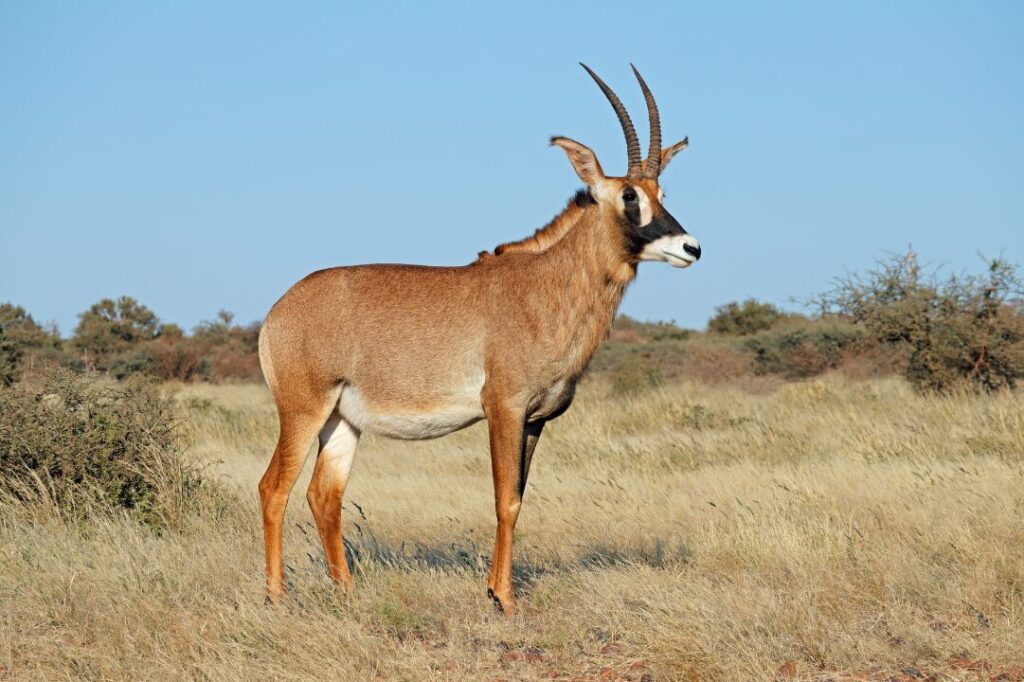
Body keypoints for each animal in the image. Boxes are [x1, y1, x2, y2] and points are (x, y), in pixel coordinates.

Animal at [257, 64, 701, 614]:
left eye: (662, 193)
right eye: (628, 195)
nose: (690, 247)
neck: (543, 284)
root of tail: (278, 312)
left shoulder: (535, 420)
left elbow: (518, 499)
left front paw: (497, 590)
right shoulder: (504, 408)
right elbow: (504, 500)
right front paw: (503, 598)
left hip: (342, 421)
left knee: (324, 495)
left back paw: (348, 593)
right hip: (303, 409)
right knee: (274, 488)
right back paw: (275, 597)